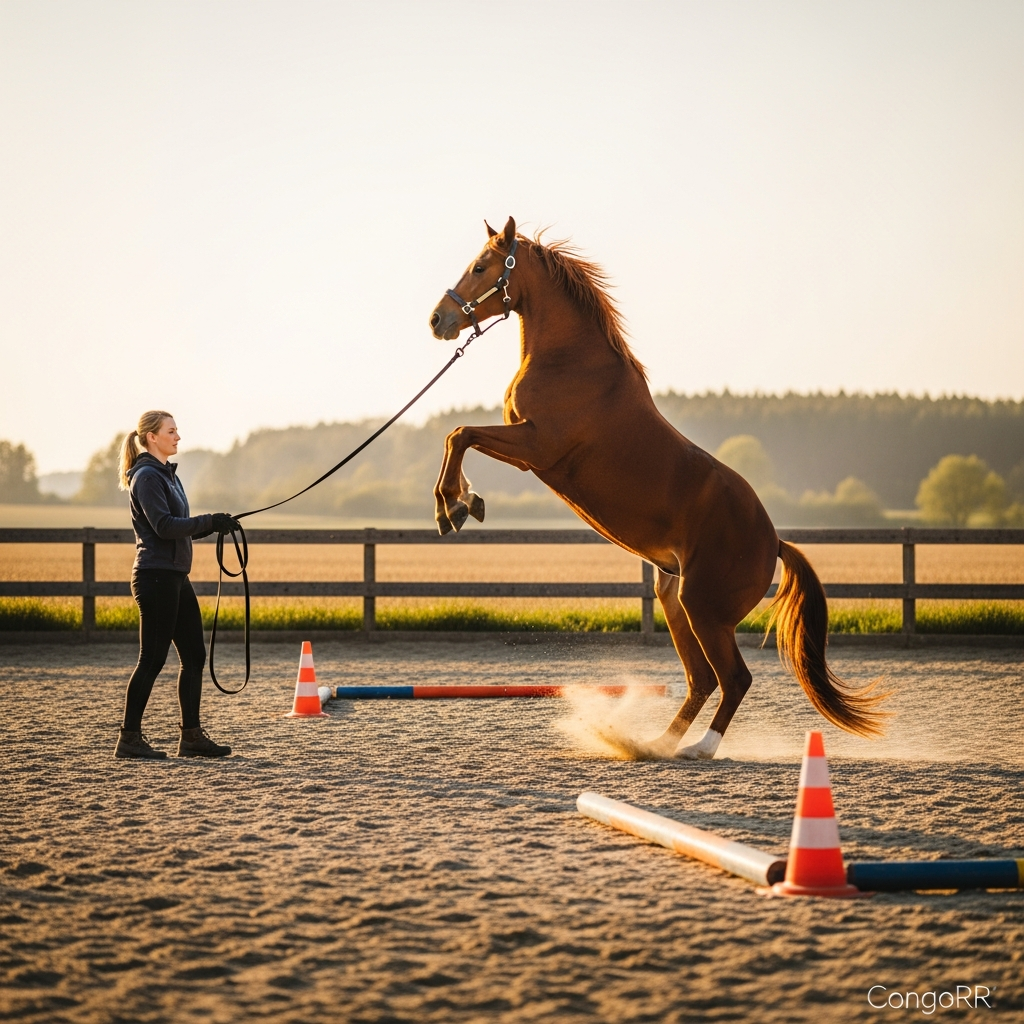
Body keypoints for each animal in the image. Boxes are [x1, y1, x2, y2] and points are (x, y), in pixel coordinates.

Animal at [428, 217, 886, 759]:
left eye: (481, 266)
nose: (437, 319)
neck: (570, 361)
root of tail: (773, 542)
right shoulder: (525, 450)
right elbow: (460, 436)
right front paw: (464, 502)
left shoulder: (537, 448)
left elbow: (460, 434)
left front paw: (452, 507)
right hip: (675, 602)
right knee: (701, 680)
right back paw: (655, 743)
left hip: (704, 610)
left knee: (734, 678)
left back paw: (699, 748)